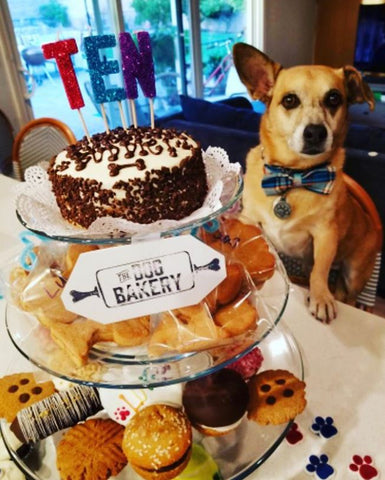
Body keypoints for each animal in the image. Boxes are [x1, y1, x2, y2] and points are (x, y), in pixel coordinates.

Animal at [232, 42, 376, 322]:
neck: (293, 176)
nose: (316, 132)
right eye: (289, 100)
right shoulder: (249, 219)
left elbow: (321, 269)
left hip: (354, 273)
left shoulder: (325, 235)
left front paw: (320, 298)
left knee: (347, 293)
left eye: (334, 98)